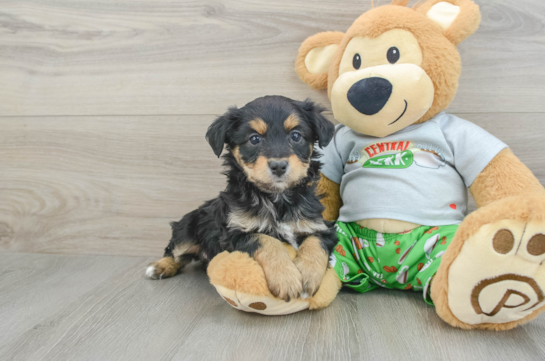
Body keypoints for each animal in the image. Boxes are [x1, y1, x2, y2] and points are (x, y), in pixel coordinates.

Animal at [147, 94, 338, 300]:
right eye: (254, 139)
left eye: (296, 136)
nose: (279, 166)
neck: (277, 198)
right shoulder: (234, 233)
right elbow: (267, 240)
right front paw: (286, 278)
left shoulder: (319, 226)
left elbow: (315, 243)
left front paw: (309, 275)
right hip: (187, 229)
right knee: (175, 251)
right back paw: (159, 267)